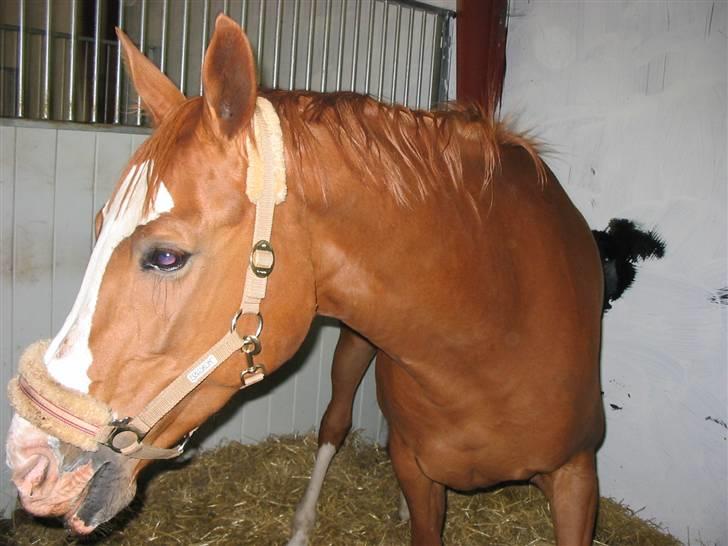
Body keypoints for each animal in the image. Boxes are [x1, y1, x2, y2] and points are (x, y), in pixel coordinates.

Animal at [5, 14, 604, 540]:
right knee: (334, 423)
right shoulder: (417, 471)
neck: (492, 324)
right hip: (356, 347)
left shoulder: (578, 476)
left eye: (167, 257)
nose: (28, 462)